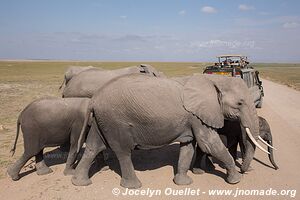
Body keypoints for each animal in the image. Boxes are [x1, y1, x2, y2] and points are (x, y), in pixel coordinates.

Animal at [71, 73, 270, 188]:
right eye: (240, 103)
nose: (245, 170)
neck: (214, 80)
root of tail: (94, 99)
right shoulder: (197, 115)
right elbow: (210, 144)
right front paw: (235, 180)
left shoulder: (192, 118)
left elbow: (188, 147)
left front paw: (184, 183)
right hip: (116, 121)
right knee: (123, 151)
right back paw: (134, 186)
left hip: (102, 120)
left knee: (93, 147)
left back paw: (80, 183)